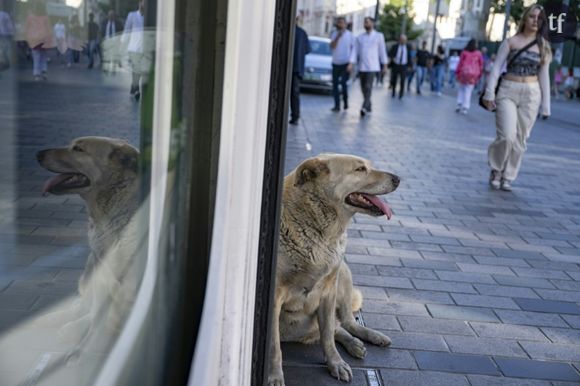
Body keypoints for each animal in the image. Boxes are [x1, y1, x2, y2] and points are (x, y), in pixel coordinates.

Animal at [270, 154, 402, 386]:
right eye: (360, 169)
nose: (398, 179)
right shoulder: (274, 296)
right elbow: (274, 347)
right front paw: (275, 376)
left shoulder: (328, 291)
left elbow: (328, 336)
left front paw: (336, 363)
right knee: (336, 327)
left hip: (344, 274)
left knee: (344, 323)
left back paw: (365, 339)